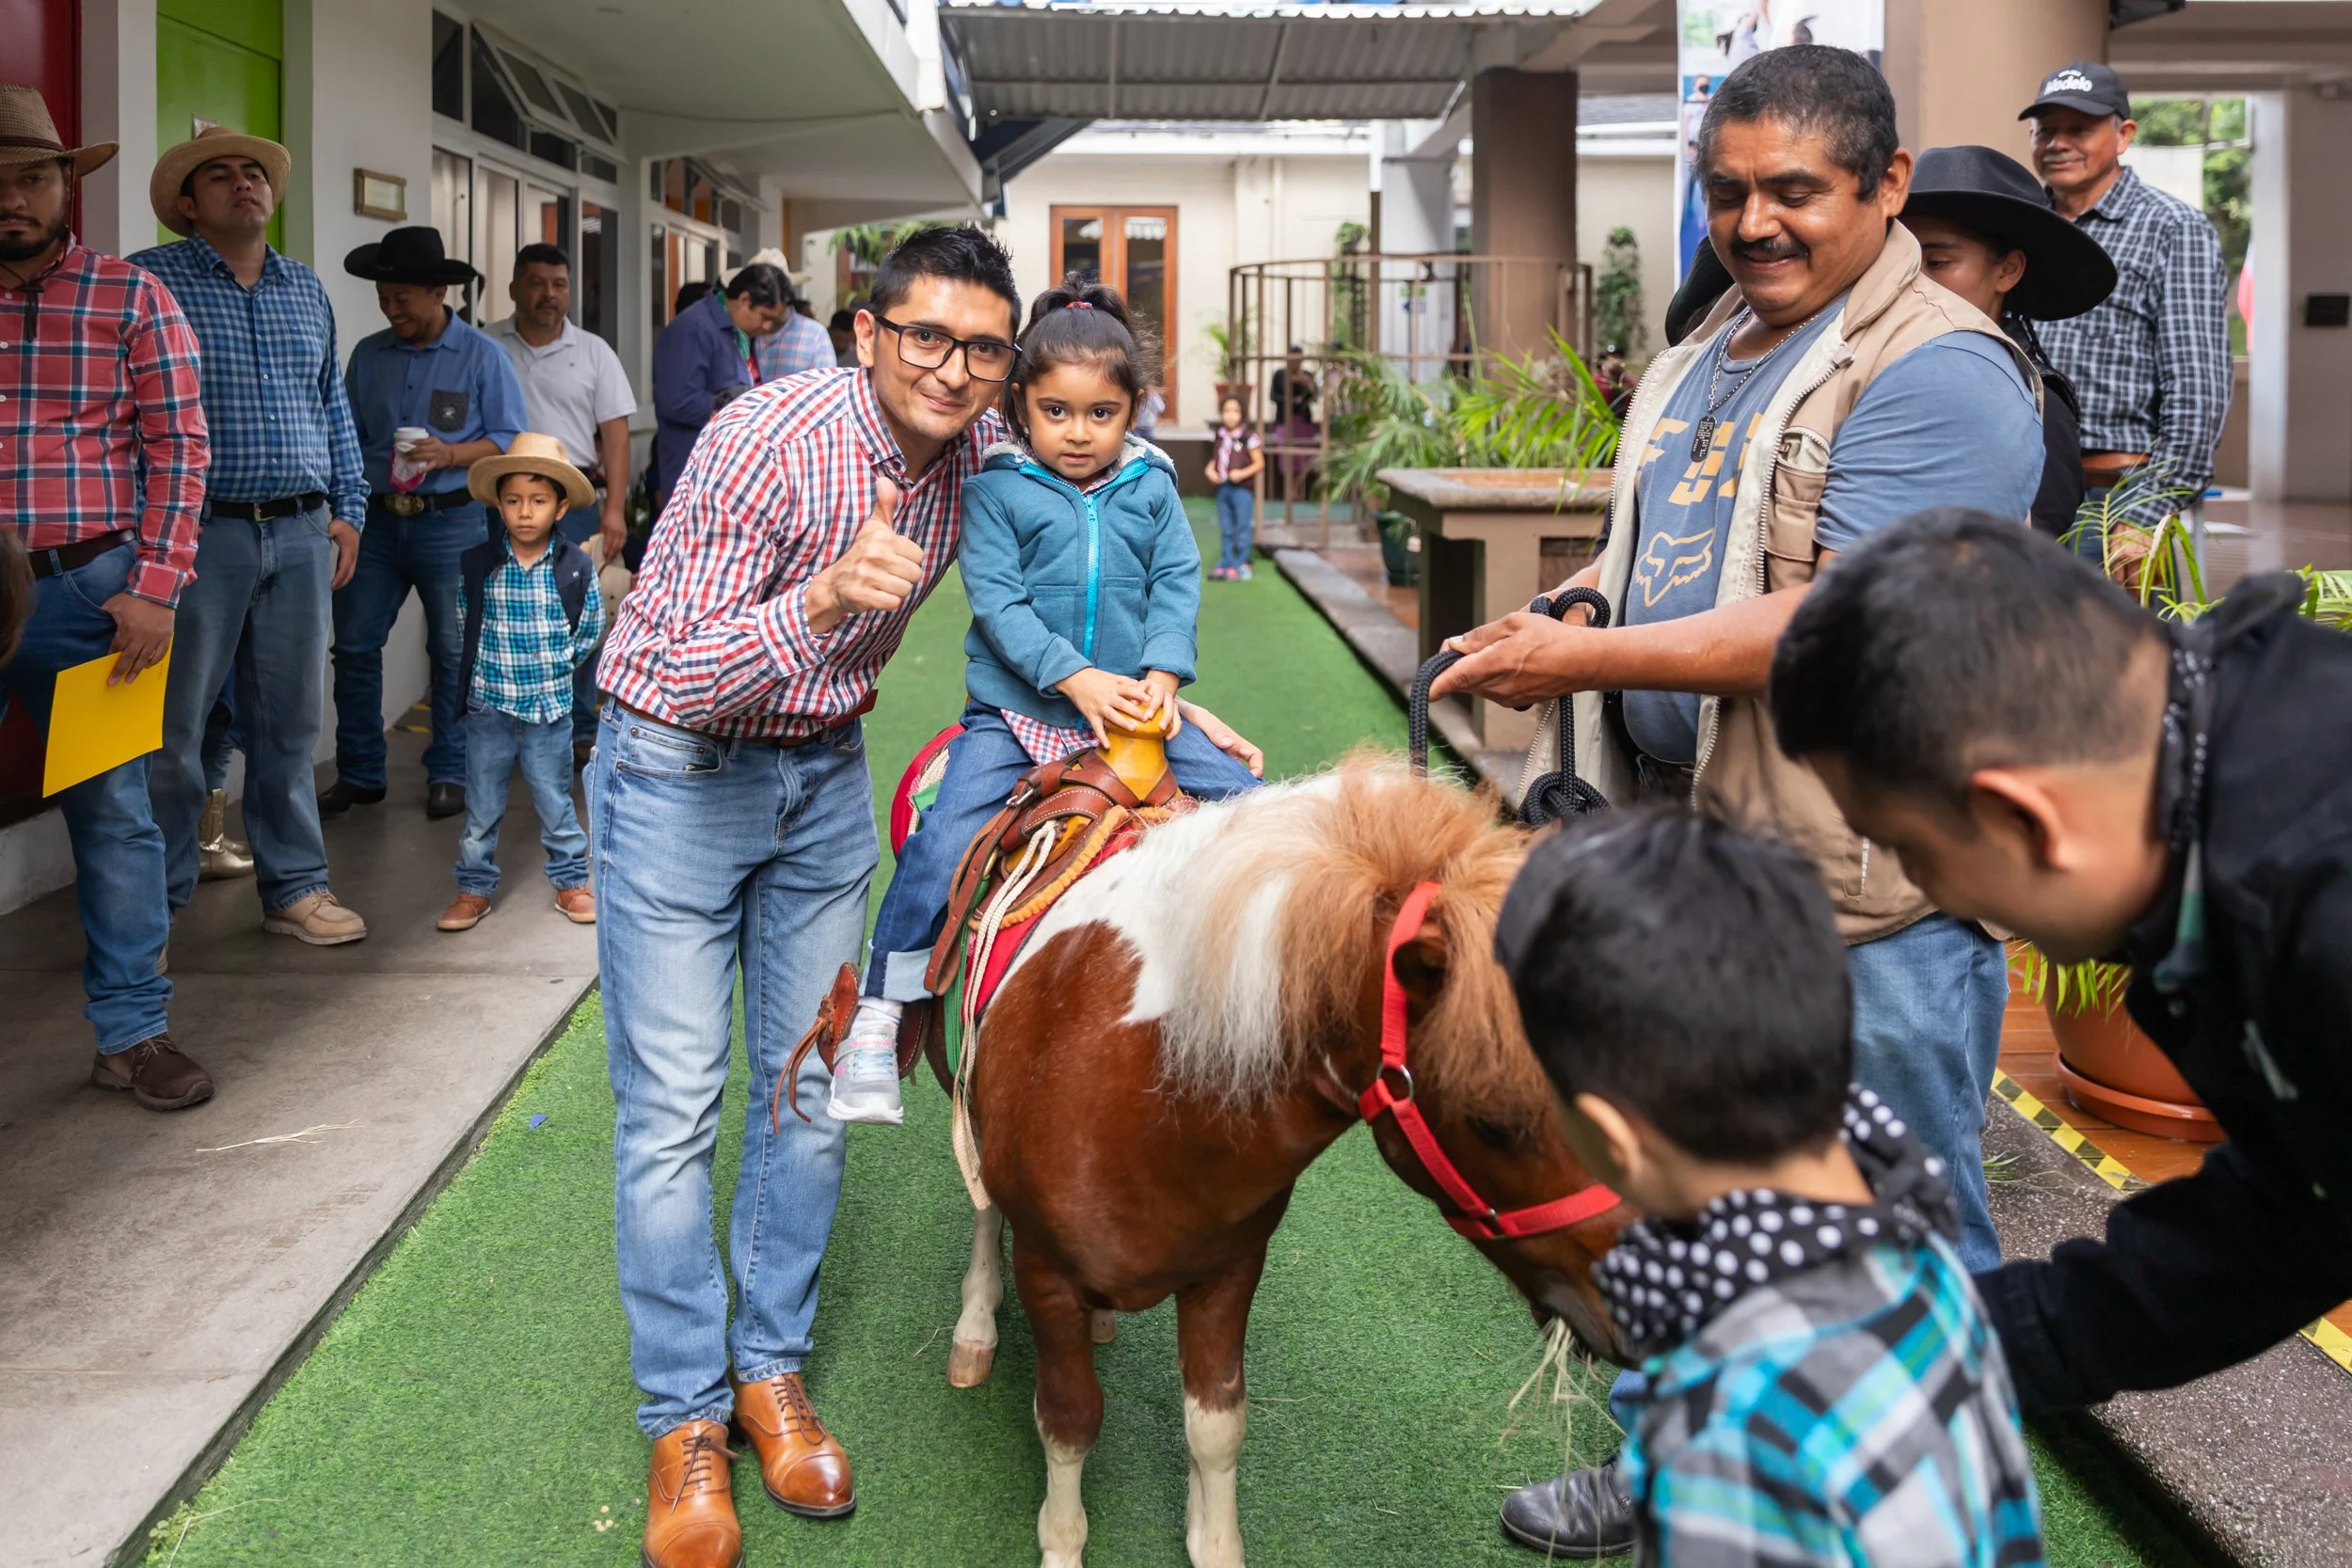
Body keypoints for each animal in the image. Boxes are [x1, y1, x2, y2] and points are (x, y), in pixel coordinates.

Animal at [938, 756, 1630, 1568]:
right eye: (1494, 1121)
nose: (1641, 1301)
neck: (1136, 1084)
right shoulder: (1048, 1274)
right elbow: (1071, 1419)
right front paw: (1063, 1543)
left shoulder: (1229, 1270)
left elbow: (1215, 1424)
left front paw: (1215, 1543)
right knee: (985, 1206)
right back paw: (976, 1323)